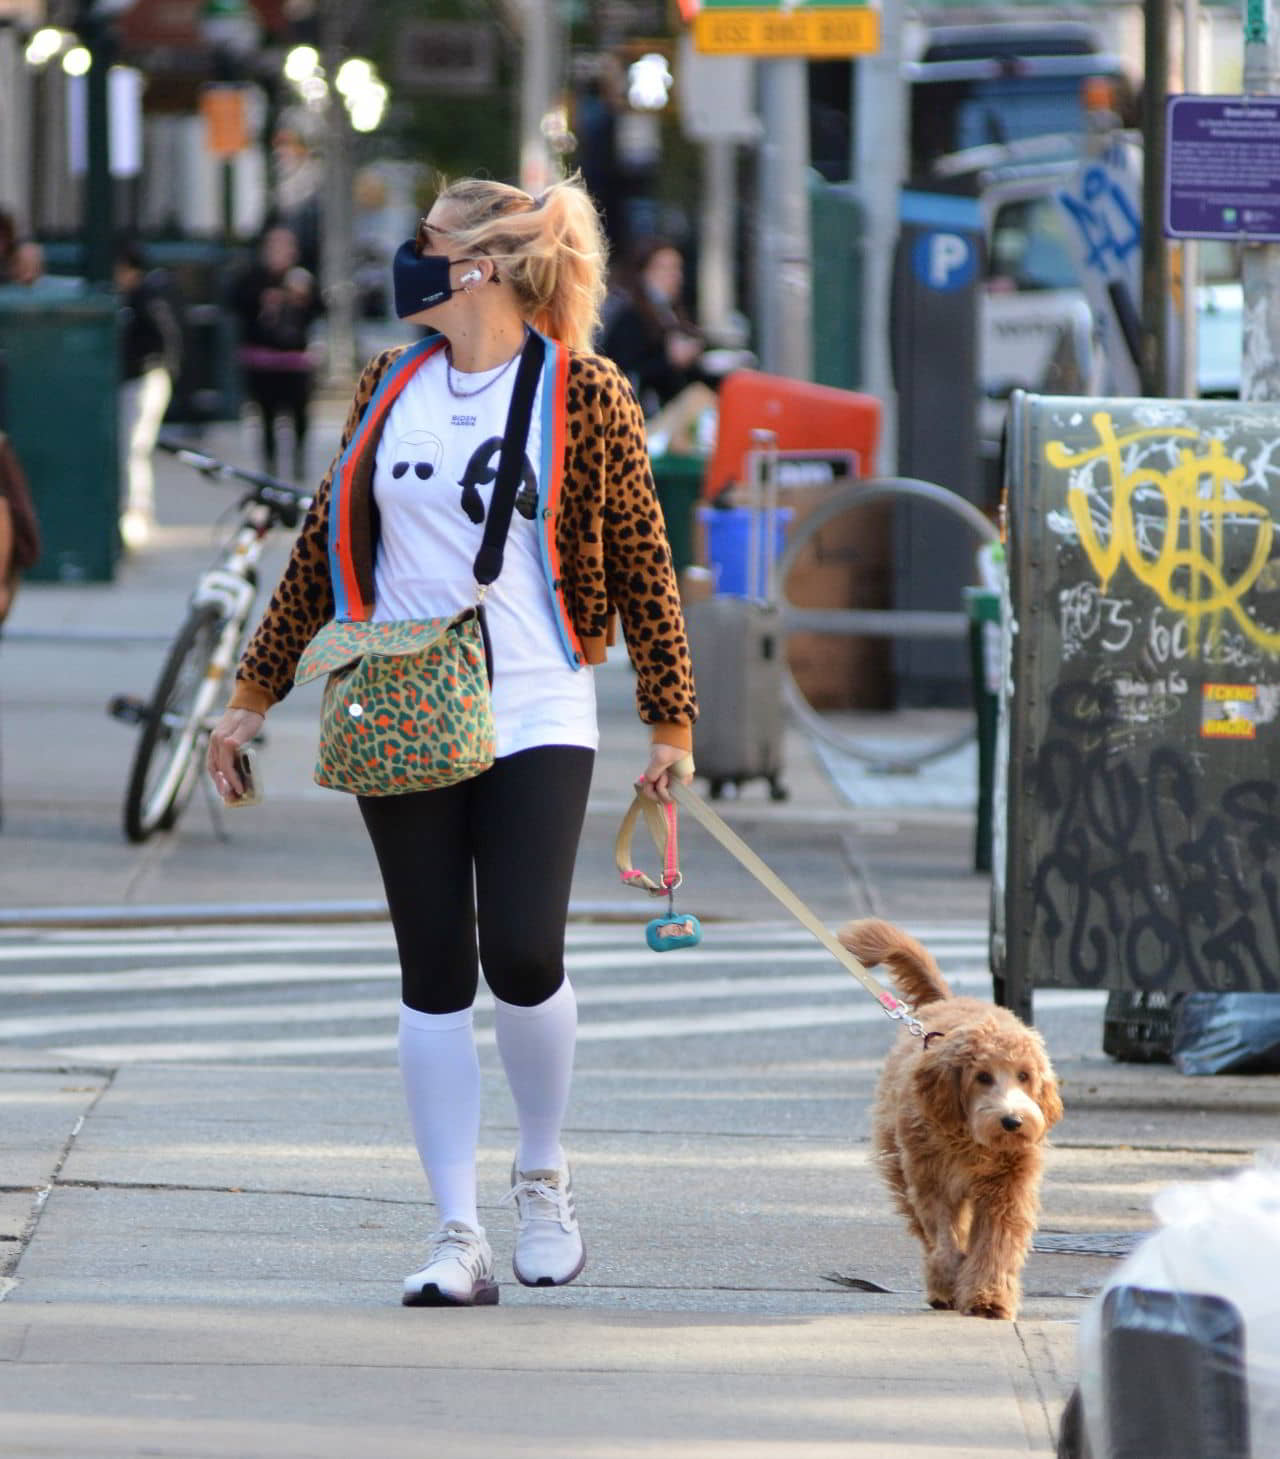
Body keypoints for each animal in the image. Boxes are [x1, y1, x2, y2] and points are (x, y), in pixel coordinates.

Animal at [846, 922, 1062, 1324]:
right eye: (982, 1077)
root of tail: (948, 1000)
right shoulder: (931, 1179)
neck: (972, 1141)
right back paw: (942, 1284)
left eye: (1024, 1075)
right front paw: (950, 1277)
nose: (1012, 1121)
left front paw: (988, 1297)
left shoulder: (1008, 1188)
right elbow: (944, 1236)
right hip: (901, 1163)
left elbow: (996, 1244)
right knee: (925, 1227)